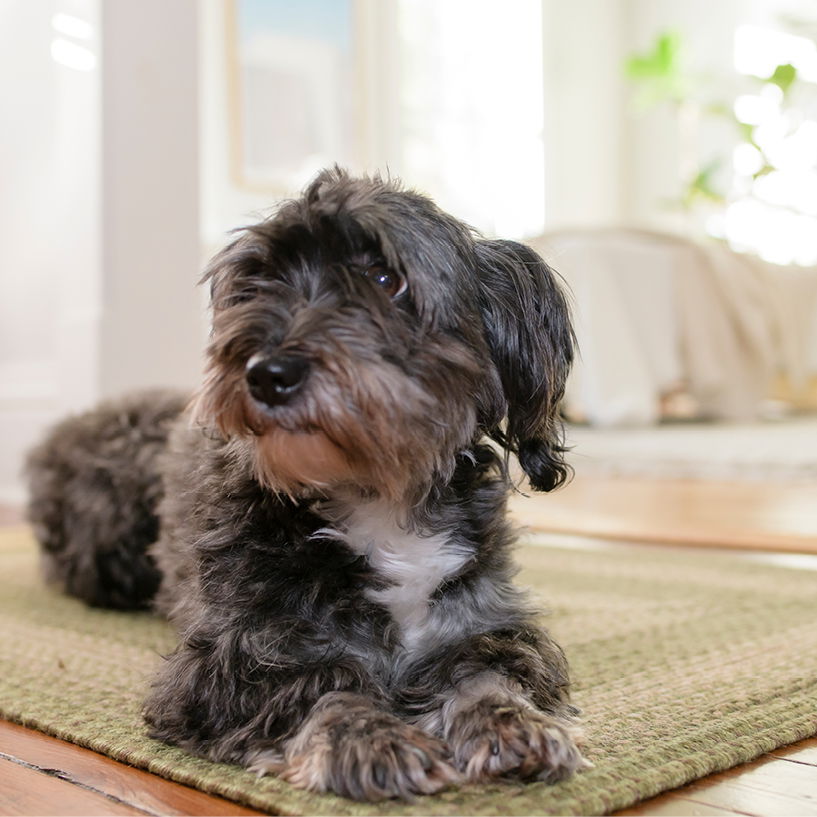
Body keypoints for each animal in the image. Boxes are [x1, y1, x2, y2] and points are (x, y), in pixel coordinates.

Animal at [27, 169, 588, 800]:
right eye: (258, 283)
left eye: (385, 277)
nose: (267, 375)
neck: (373, 493)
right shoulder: (229, 657)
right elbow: (321, 681)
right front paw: (369, 735)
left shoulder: (479, 617)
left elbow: (486, 669)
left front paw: (511, 720)